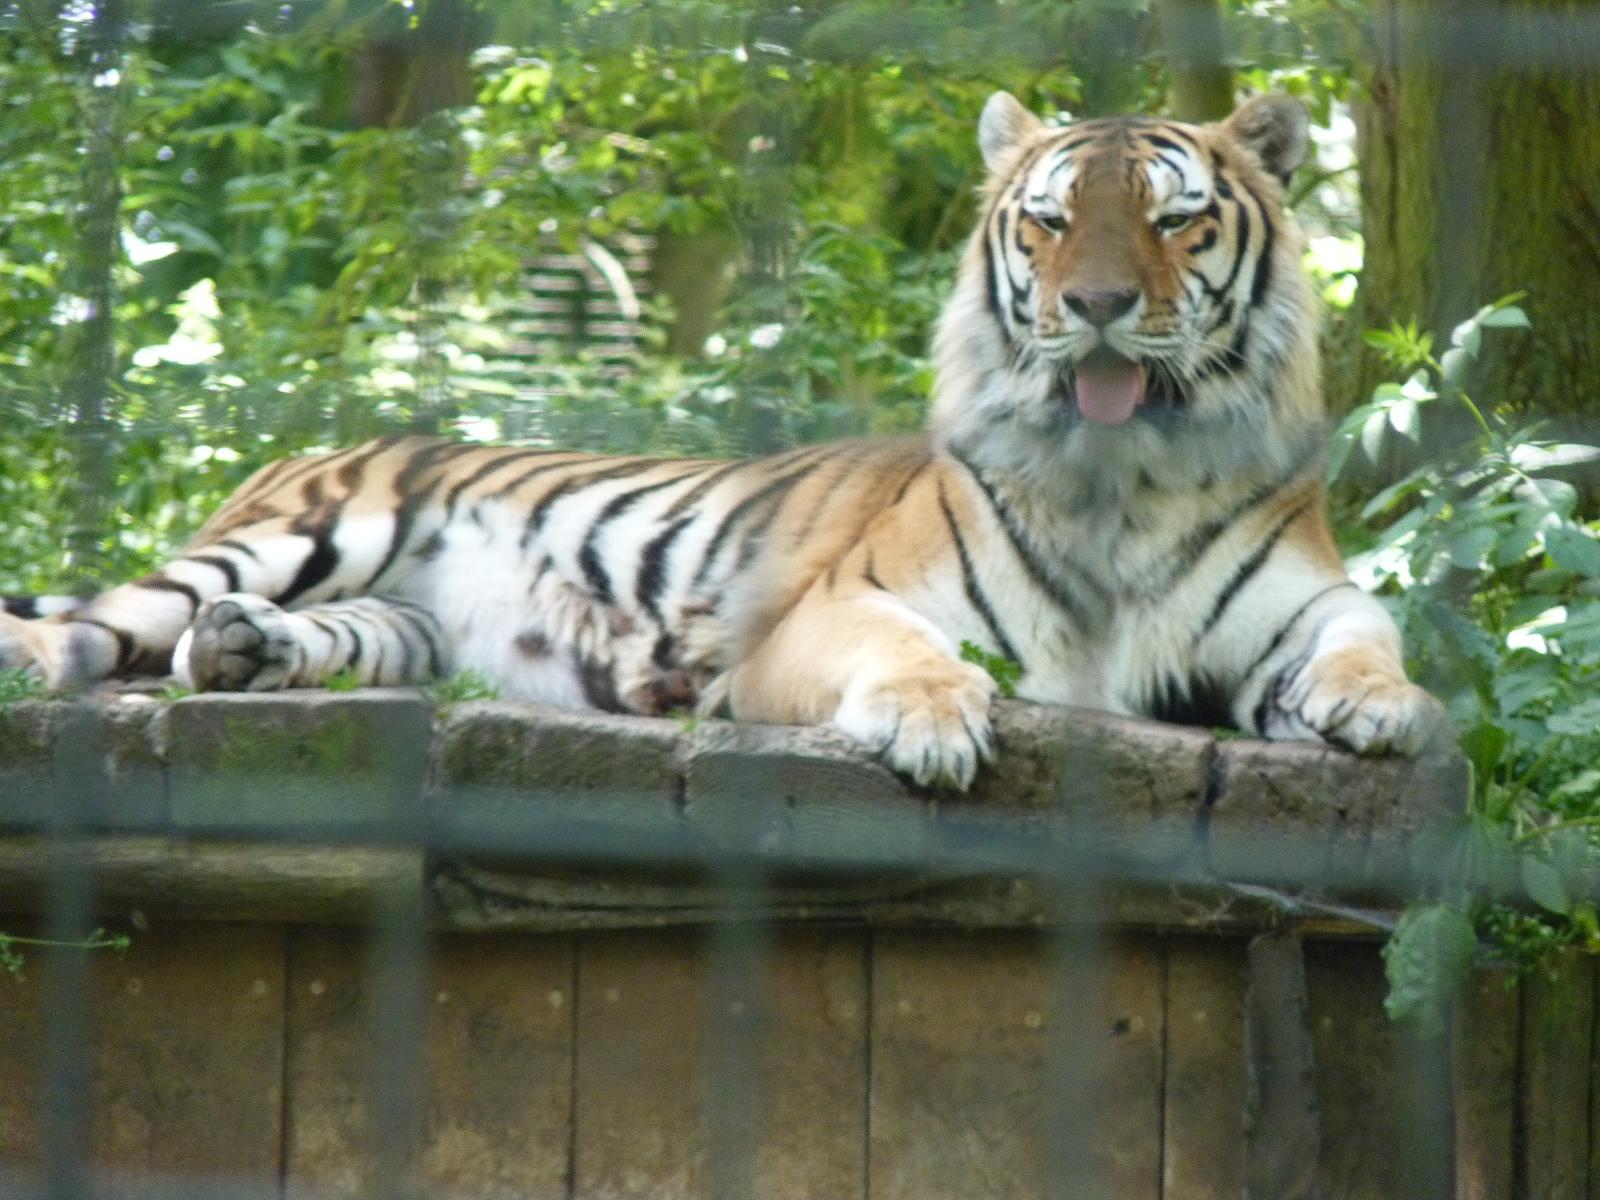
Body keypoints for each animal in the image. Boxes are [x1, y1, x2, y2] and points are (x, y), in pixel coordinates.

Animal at [0, 91, 1445, 789]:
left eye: (1169, 218)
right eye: (1046, 222)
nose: (1091, 304)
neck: (1122, 479)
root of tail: (289, 457)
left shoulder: (1297, 605)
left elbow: (1372, 635)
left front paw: (1385, 711)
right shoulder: (827, 612)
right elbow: (913, 653)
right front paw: (936, 724)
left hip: (400, 623)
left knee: (294, 644)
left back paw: (244, 655)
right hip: (315, 528)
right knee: (87, 629)